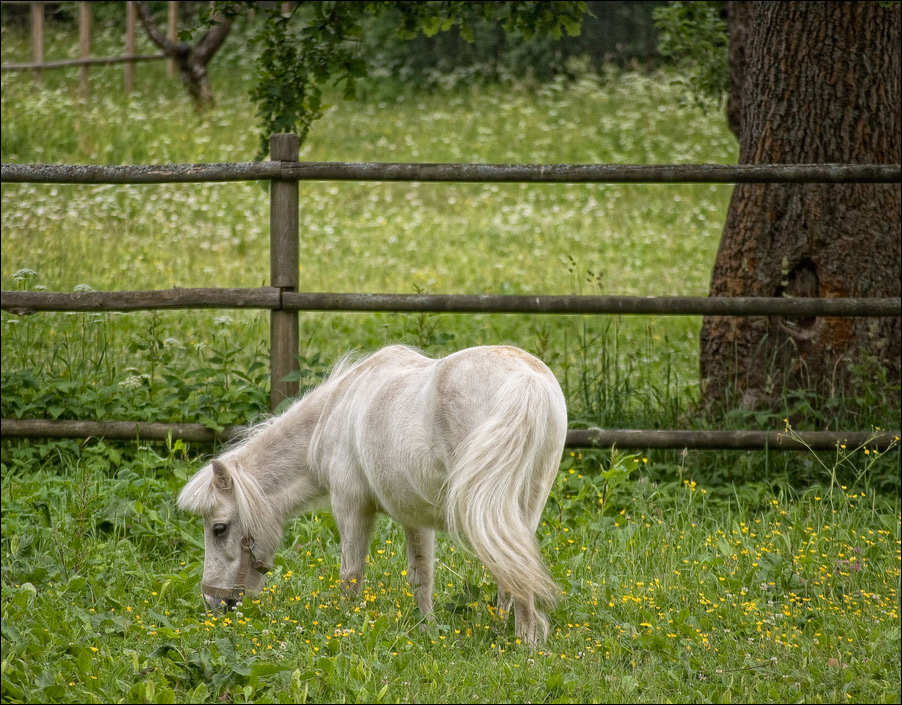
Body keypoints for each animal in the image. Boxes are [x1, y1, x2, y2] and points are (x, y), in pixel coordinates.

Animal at [180, 344, 568, 640]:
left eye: (219, 528)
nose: (213, 603)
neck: (337, 410)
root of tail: (527, 381)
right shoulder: (415, 517)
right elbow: (421, 576)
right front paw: (427, 629)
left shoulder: (350, 505)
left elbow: (351, 575)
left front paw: (347, 626)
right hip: (520, 509)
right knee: (513, 567)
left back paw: (526, 643)